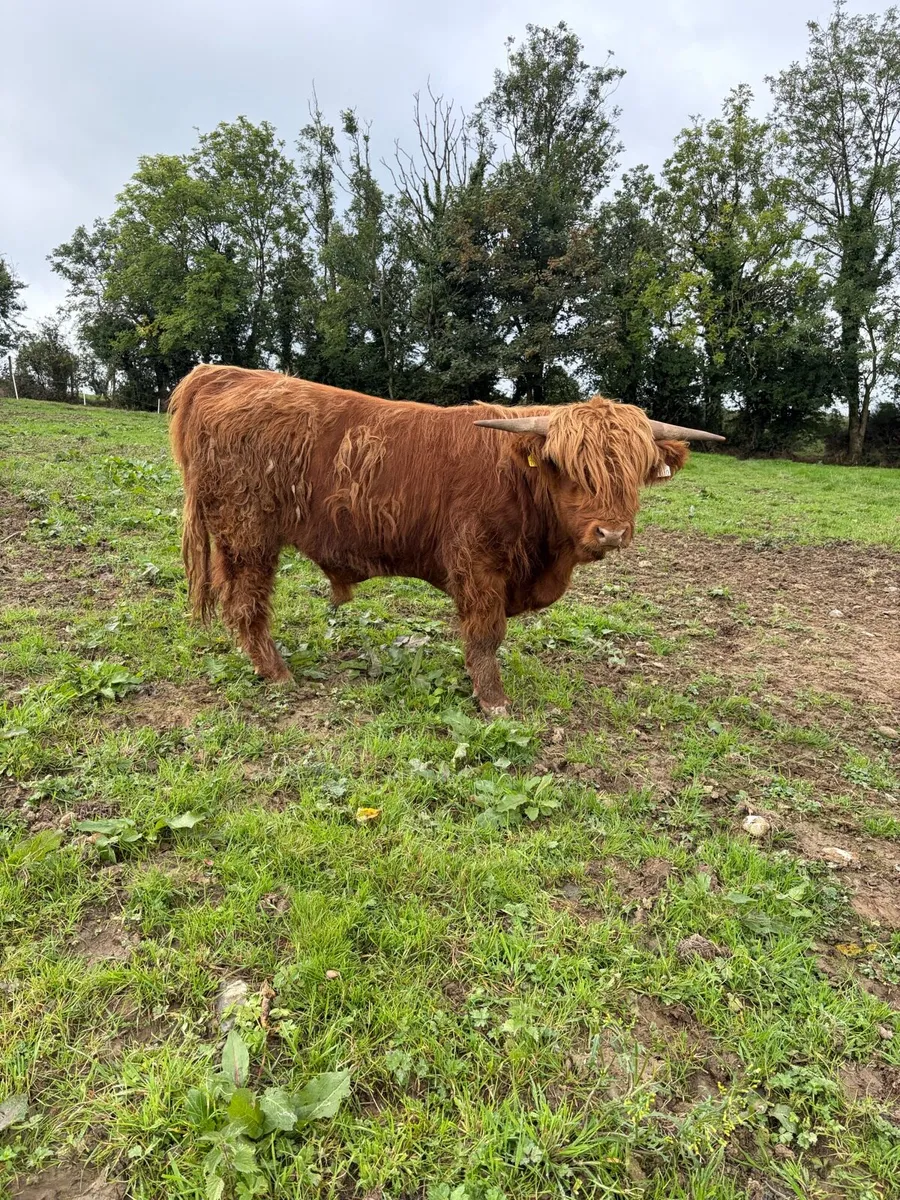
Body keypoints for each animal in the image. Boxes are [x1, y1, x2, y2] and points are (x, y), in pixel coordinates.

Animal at [168, 365, 722, 715]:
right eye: (566, 468)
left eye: (634, 473)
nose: (611, 531)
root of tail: (221, 373)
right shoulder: (477, 564)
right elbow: (485, 634)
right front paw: (493, 700)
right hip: (248, 533)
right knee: (247, 602)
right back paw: (277, 672)